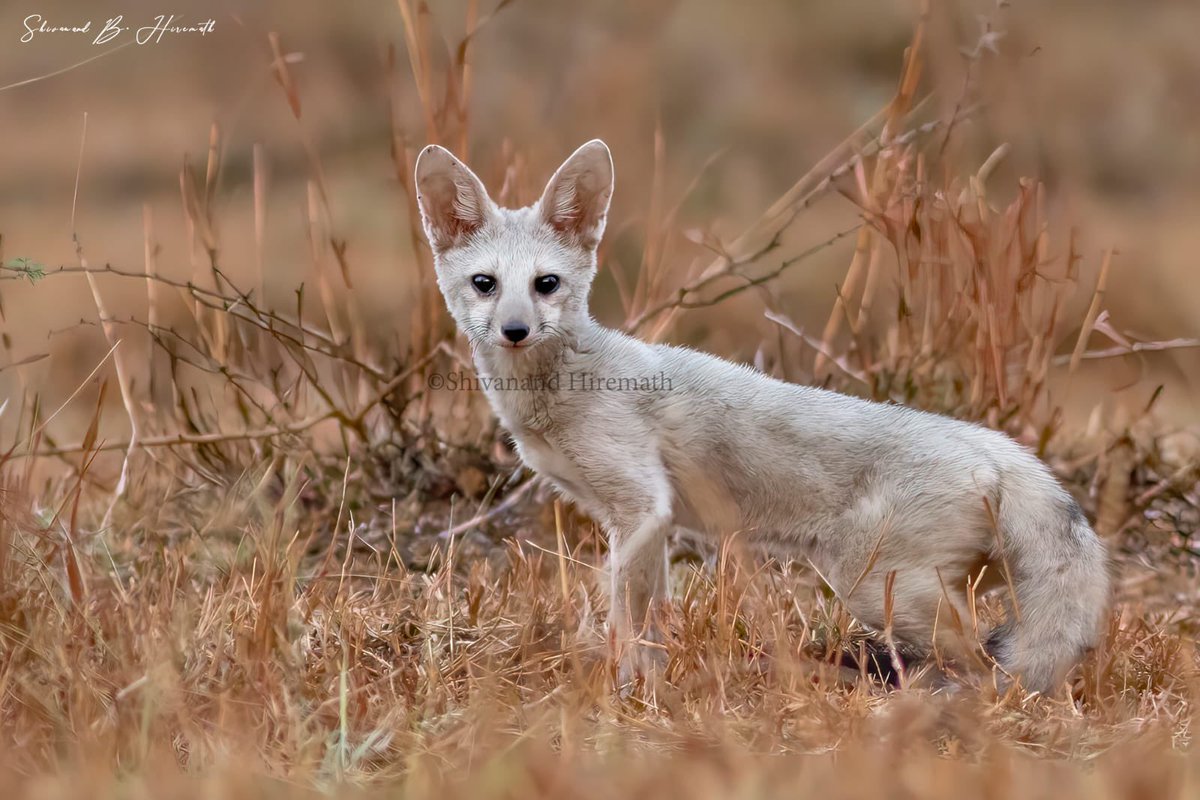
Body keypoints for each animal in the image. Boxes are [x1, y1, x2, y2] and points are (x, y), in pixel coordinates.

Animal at [413, 138, 1110, 694]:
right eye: (485, 283)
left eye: (546, 284)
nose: (515, 331)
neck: (559, 393)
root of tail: (999, 447)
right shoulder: (643, 524)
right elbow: (651, 626)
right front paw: (648, 692)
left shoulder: (642, 508)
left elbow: (624, 622)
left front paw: (619, 695)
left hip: (880, 590)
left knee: (982, 672)